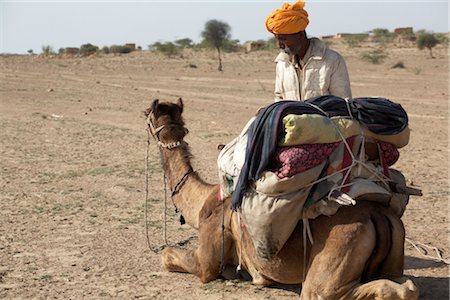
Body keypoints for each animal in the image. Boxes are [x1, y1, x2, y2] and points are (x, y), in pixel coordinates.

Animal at [146, 98, 420, 300]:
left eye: (147, 115)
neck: (202, 200)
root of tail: (378, 215)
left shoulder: (207, 259)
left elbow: (167, 256)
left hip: (332, 264)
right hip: (395, 252)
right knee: (406, 285)